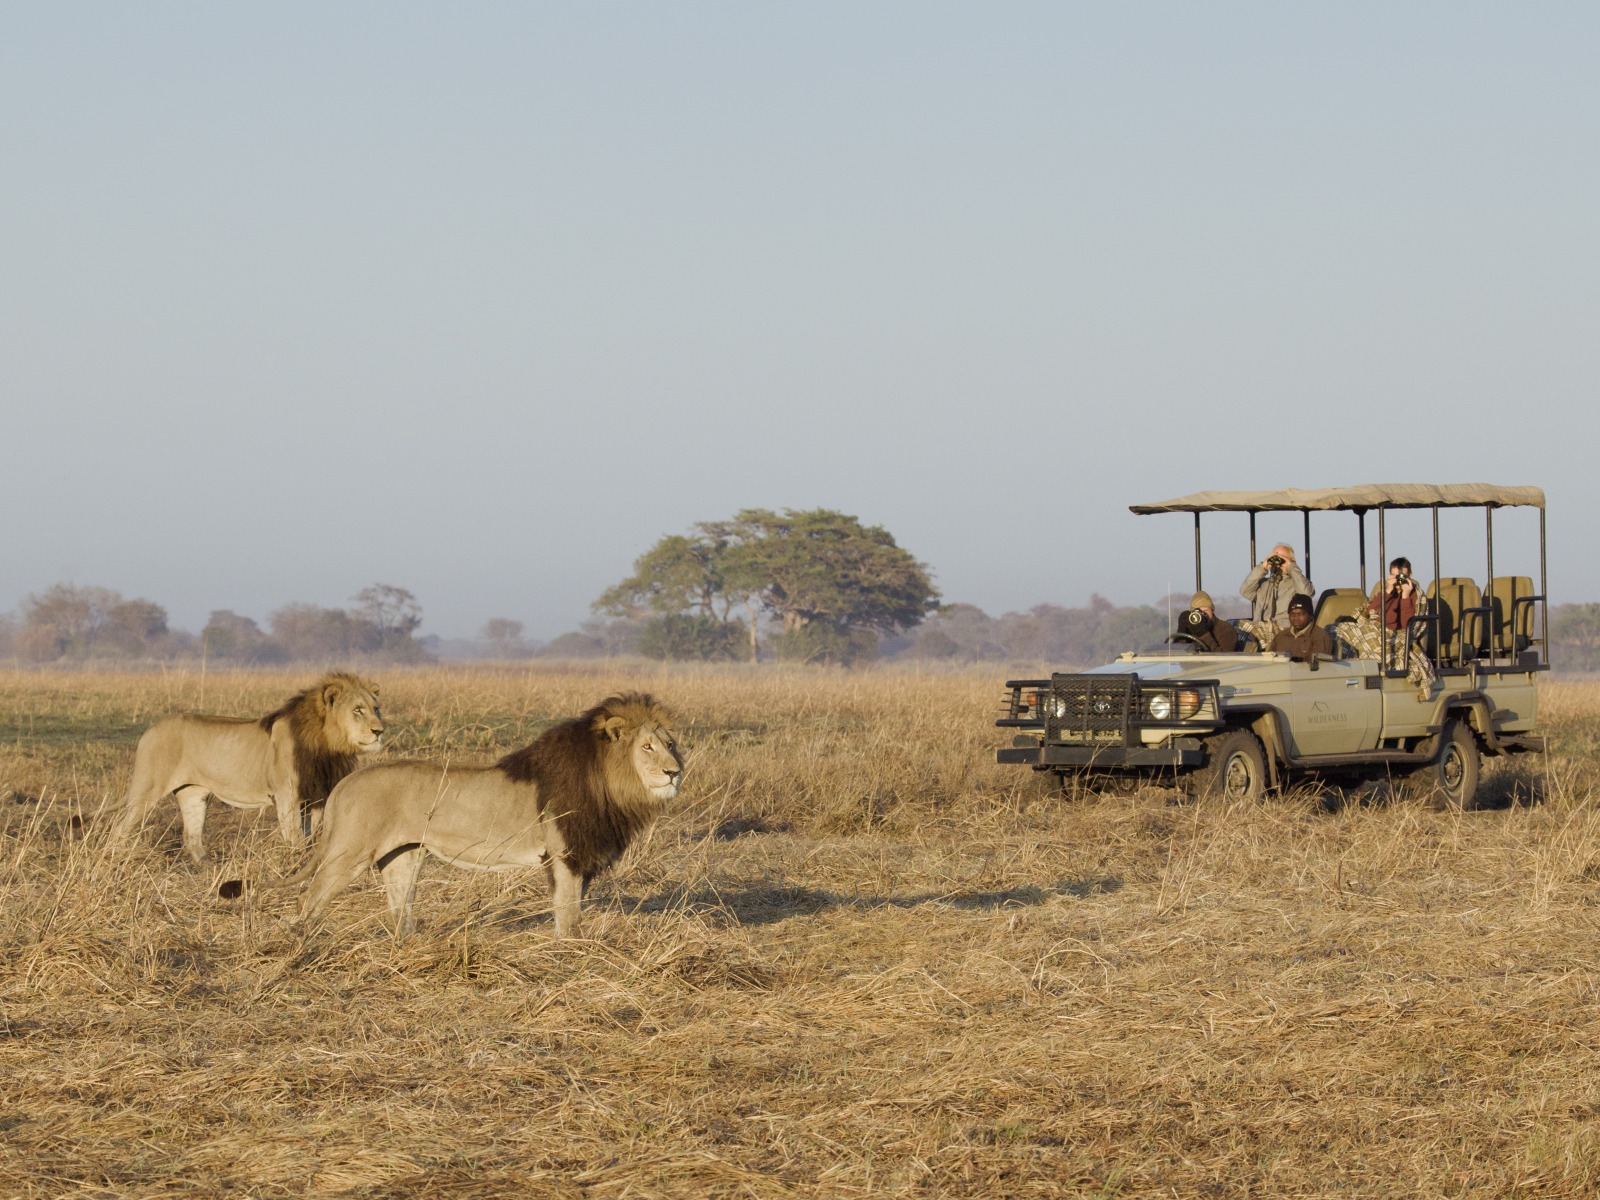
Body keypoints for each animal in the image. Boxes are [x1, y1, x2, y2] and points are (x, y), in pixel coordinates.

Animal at [108, 672, 384, 863]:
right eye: (358, 710)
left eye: (376, 708)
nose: (380, 731)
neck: (328, 745)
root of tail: (150, 729)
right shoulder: (287, 796)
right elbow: (295, 837)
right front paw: (293, 863)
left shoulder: (315, 797)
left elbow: (309, 838)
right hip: (146, 790)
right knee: (118, 828)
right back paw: (117, 859)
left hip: (193, 793)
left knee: (192, 836)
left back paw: (207, 868)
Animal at [223, 693, 682, 940]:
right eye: (647, 747)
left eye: (672, 744)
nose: (675, 772)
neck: (610, 781)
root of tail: (346, 784)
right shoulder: (565, 854)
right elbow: (568, 913)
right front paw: (571, 951)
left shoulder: (581, 857)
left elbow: (574, 908)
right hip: (348, 852)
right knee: (311, 898)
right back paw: (305, 941)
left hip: (403, 856)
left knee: (399, 907)